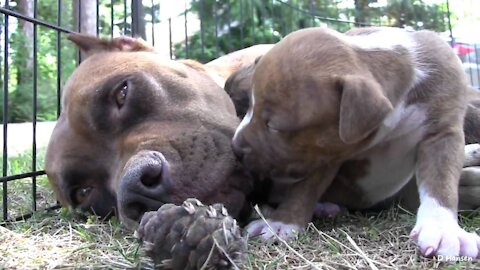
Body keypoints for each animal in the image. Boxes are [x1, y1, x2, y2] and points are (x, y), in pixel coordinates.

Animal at [232, 26, 480, 258]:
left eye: (275, 126)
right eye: (249, 107)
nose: (235, 147)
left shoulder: (442, 132)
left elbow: (441, 182)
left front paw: (442, 228)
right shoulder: (323, 151)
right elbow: (303, 189)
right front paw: (281, 223)